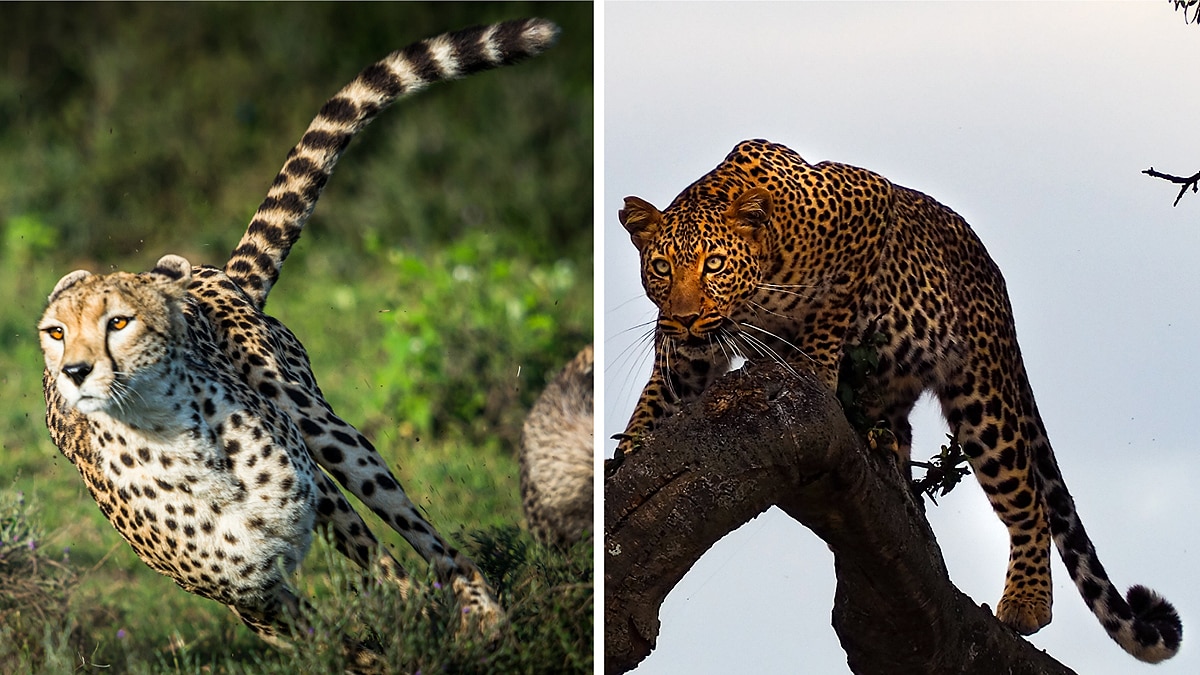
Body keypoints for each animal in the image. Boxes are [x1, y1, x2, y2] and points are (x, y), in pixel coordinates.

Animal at [37, 18, 559, 670]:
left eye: (118, 323)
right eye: (56, 332)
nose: (75, 371)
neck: (173, 440)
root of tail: (213, 271)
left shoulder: (315, 501)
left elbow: (392, 584)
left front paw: (424, 633)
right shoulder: (249, 597)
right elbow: (334, 644)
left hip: (322, 429)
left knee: (425, 541)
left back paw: (483, 615)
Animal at [614, 138, 1182, 662]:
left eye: (713, 265)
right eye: (661, 267)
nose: (686, 317)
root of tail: (996, 280)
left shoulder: (869, 204)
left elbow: (834, 303)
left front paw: (814, 363)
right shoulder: (687, 355)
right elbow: (660, 396)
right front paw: (630, 449)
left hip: (983, 397)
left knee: (1028, 497)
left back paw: (1027, 601)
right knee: (903, 433)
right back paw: (891, 463)